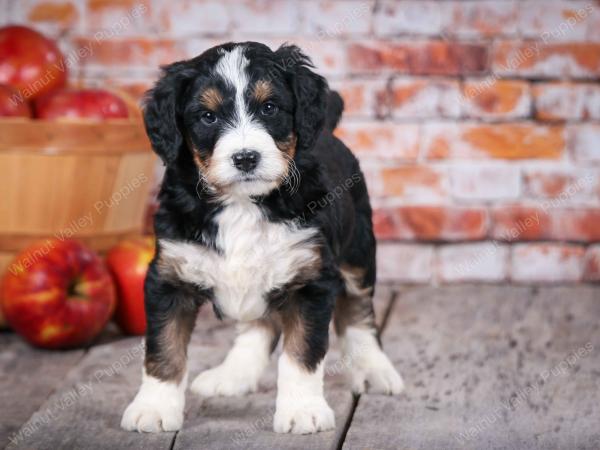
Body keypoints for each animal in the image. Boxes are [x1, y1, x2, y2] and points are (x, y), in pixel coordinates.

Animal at [121, 42, 404, 436]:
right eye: (207, 116)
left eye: (269, 108)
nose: (245, 158)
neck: (243, 203)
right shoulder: (170, 276)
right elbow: (163, 347)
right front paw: (154, 407)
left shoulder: (310, 278)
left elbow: (302, 352)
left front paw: (302, 411)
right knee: (259, 324)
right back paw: (232, 375)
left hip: (357, 250)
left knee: (358, 309)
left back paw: (374, 369)